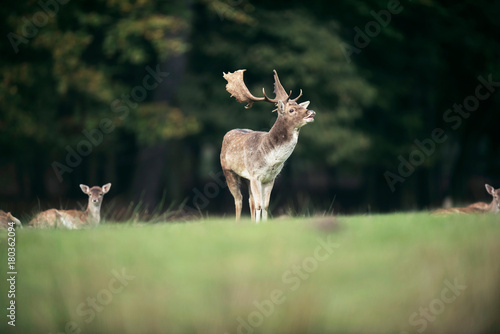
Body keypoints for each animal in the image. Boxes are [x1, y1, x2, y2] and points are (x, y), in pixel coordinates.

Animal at [221, 69, 314, 222]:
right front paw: (259, 225)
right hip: (228, 171)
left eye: (301, 106)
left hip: (246, 178)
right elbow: (259, 205)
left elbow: (265, 205)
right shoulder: (255, 174)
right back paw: (238, 222)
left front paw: (263, 224)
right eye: (291, 110)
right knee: (238, 199)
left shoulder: (270, 178)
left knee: (250, 201)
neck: (270, 160)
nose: (311, 112)